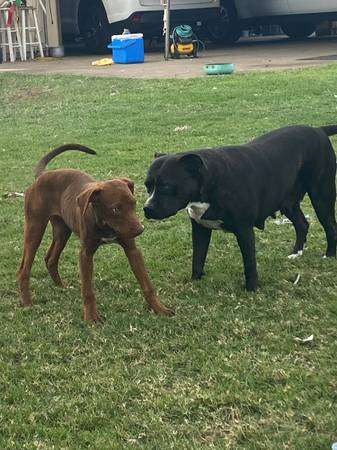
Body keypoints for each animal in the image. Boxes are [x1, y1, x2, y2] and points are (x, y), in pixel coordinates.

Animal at [17, 144, 173, 320]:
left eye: (133, 203)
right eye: (116, 209)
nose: (140, 230)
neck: (105, 224)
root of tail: (42, 175)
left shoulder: (132, 249)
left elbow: (147, 284)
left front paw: (159, 308)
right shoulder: (85, 254)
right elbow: (88, 290)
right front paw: (91, 317)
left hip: (62, 231)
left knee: (50, 258)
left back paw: (61, 286)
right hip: (35, 228)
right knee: (24, 269)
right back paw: (27, 302)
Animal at [143, 124, 336, 292]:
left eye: (167, 187)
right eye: (147, 186)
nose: (147, 208)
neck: (212, 180)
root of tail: (318, 130)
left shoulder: (244, 230)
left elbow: (249, 263)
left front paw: (252, 289)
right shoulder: (200, 228)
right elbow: (197, 258)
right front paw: (195, 282)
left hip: (322, 196)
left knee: (330, 225)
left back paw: (329, 255)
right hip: (288, 202)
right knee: (302, 224)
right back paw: (297, 252)